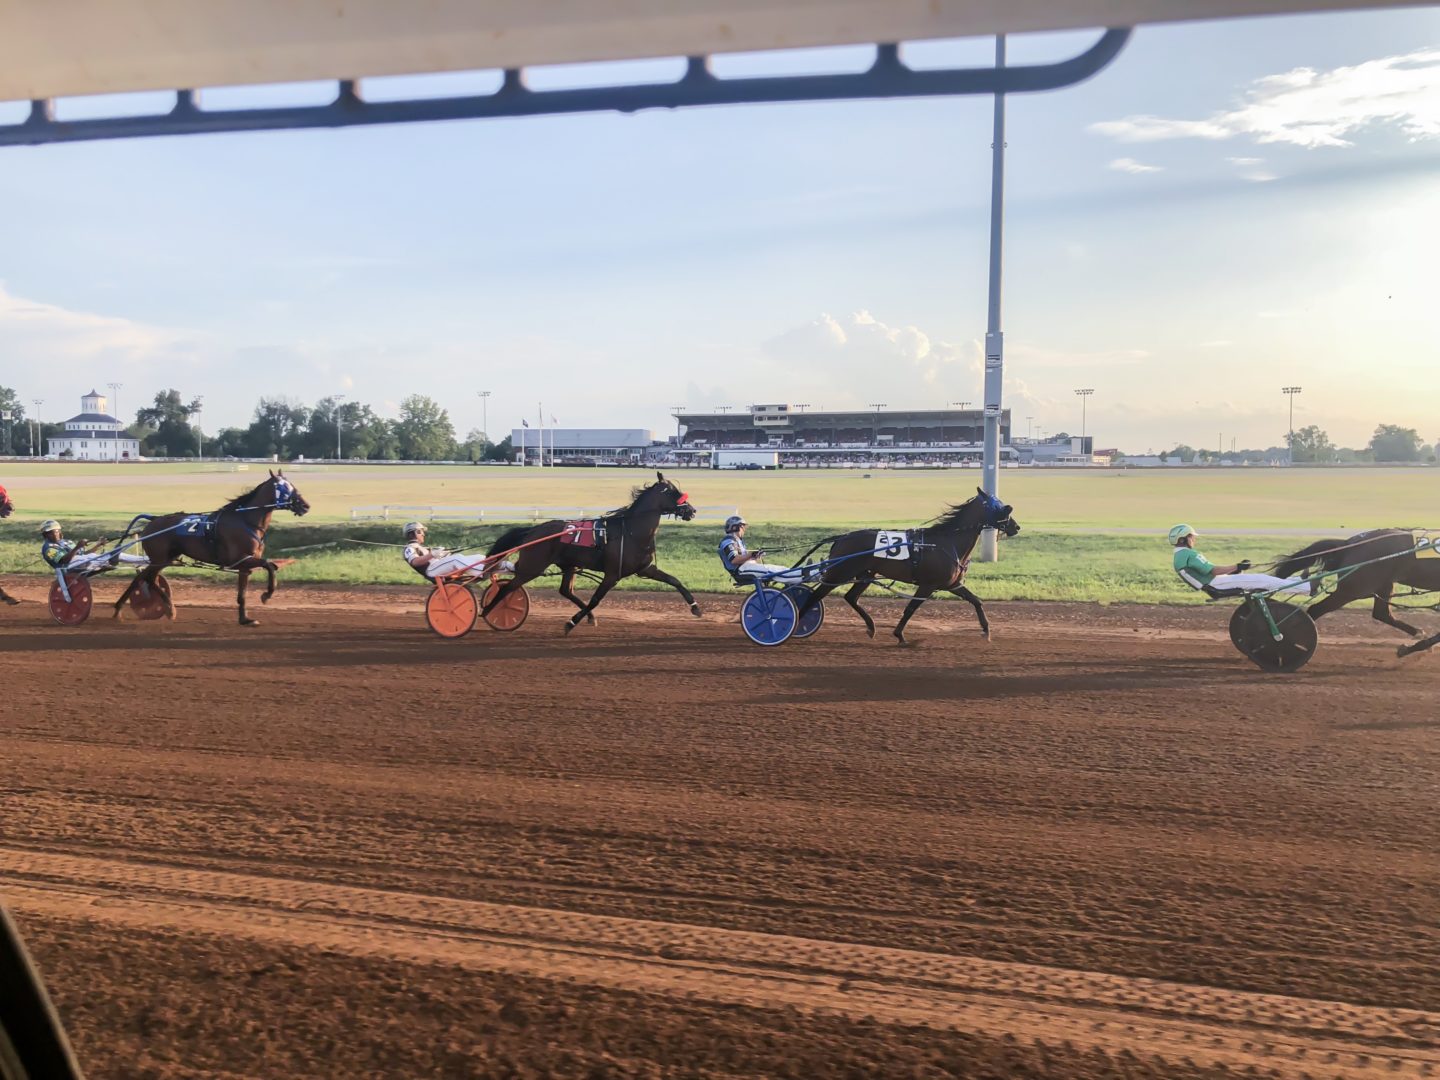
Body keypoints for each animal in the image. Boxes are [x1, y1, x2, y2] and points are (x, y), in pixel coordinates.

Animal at [113, 466, 311, 624]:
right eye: (283, 487)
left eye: (291, 485)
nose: (305, 505)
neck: (245, 520)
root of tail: (153, 520)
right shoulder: (241, 560)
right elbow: (270, 565)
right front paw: (266, 595)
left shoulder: (244, 565)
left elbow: (243, 594)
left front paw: (245, 619)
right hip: (159, 558)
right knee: (149, 579)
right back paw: (169, 609)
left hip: (165, 558)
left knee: (141, 577)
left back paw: (118, 610)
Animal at [483, 472, 702, 633]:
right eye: (673, 492)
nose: (691, 511)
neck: (631, 532)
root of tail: (533, 531)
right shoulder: (612, 574)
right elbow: (595, 599)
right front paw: (570, 623)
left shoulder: (645, 568)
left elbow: (674, 580)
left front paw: (696, 607)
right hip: (533, 567)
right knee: (507, 588)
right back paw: (487, 611)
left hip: (568, 565)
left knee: (565, 590)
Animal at [794, 486, 1019, 648]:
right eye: (994, 505)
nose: (1015, 526)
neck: (947, 542)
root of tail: (841, 538)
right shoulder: (928, 585)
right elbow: (910, 608)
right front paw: (900, 635)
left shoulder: (952, 585)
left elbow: (976, 601)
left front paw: (987, 632)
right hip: (839, 573)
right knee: (815, 596)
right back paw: (795, 623)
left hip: (865, 574)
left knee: (850, 597)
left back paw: (871, 628)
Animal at [1272, 532, 1440, 659]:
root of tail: (1351, 543)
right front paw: (1414, 647)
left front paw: (1410, 647)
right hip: (1353, 589)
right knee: (1315, 609)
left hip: (1382, 583)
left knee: (1381, 614)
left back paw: (1418, 633)